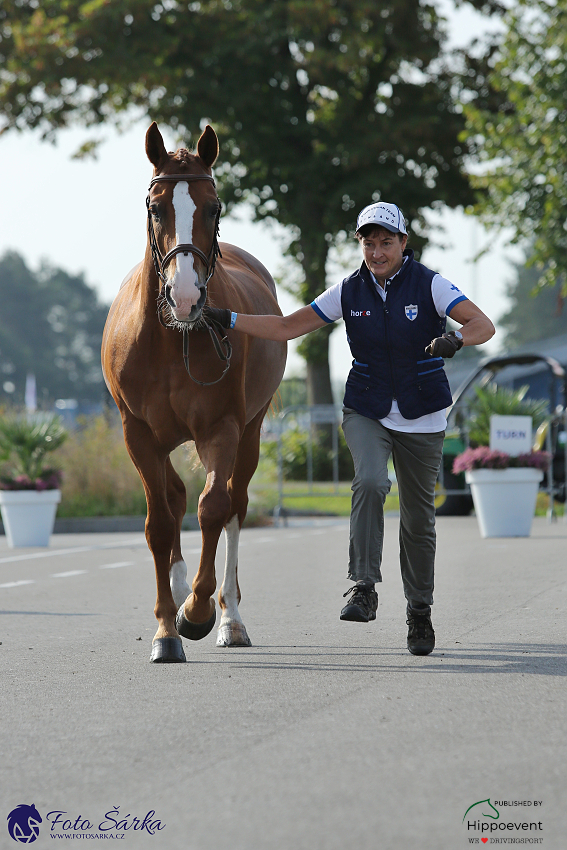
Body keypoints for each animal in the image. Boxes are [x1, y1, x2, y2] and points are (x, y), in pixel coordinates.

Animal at [101, 121, 286, 664]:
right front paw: (167, 629)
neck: (169, 338)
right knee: (176, 497)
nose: (185, 296)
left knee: (234, 506)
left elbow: (214, 508)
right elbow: (160, 524)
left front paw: (199, 613)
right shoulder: (139, 434)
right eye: (155, 206)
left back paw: (230, 618)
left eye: (213, 207)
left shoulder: (222, 429)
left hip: (252, 431)